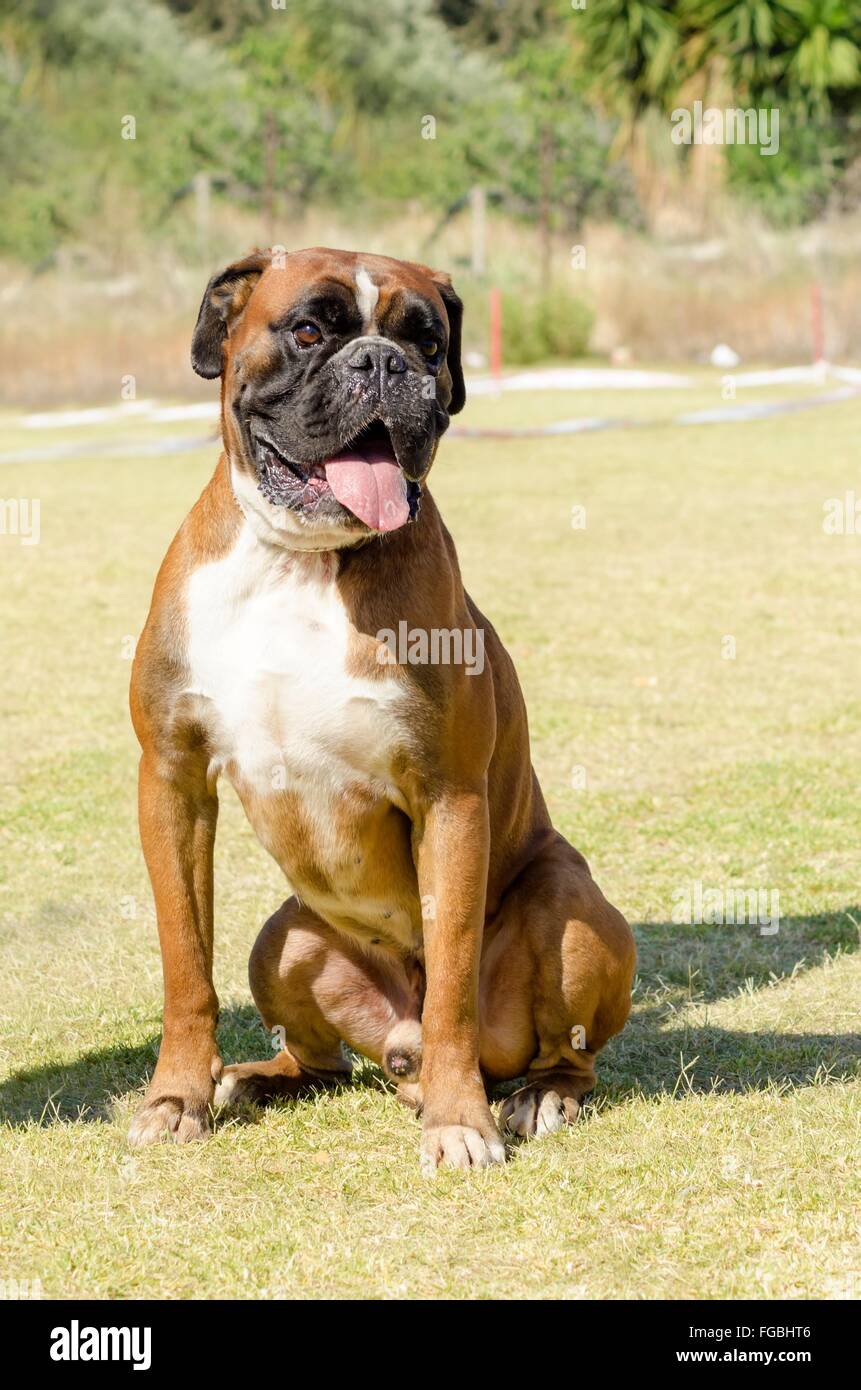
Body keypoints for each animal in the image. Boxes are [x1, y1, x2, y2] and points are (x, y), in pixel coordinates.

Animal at [129, 250, 639, 1173]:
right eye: (307, 330)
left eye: (428, 342)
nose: (382, 364)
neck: (299, 563)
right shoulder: (173, 781)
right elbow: (186, 966)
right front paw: (177, 1098)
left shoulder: (448, 797)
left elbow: (452, 990)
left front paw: (459, 1122)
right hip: (283, 940)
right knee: (320, 1060)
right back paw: (258, 1079)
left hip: (569, 910)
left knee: (557, 1049)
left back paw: (535, 1096)